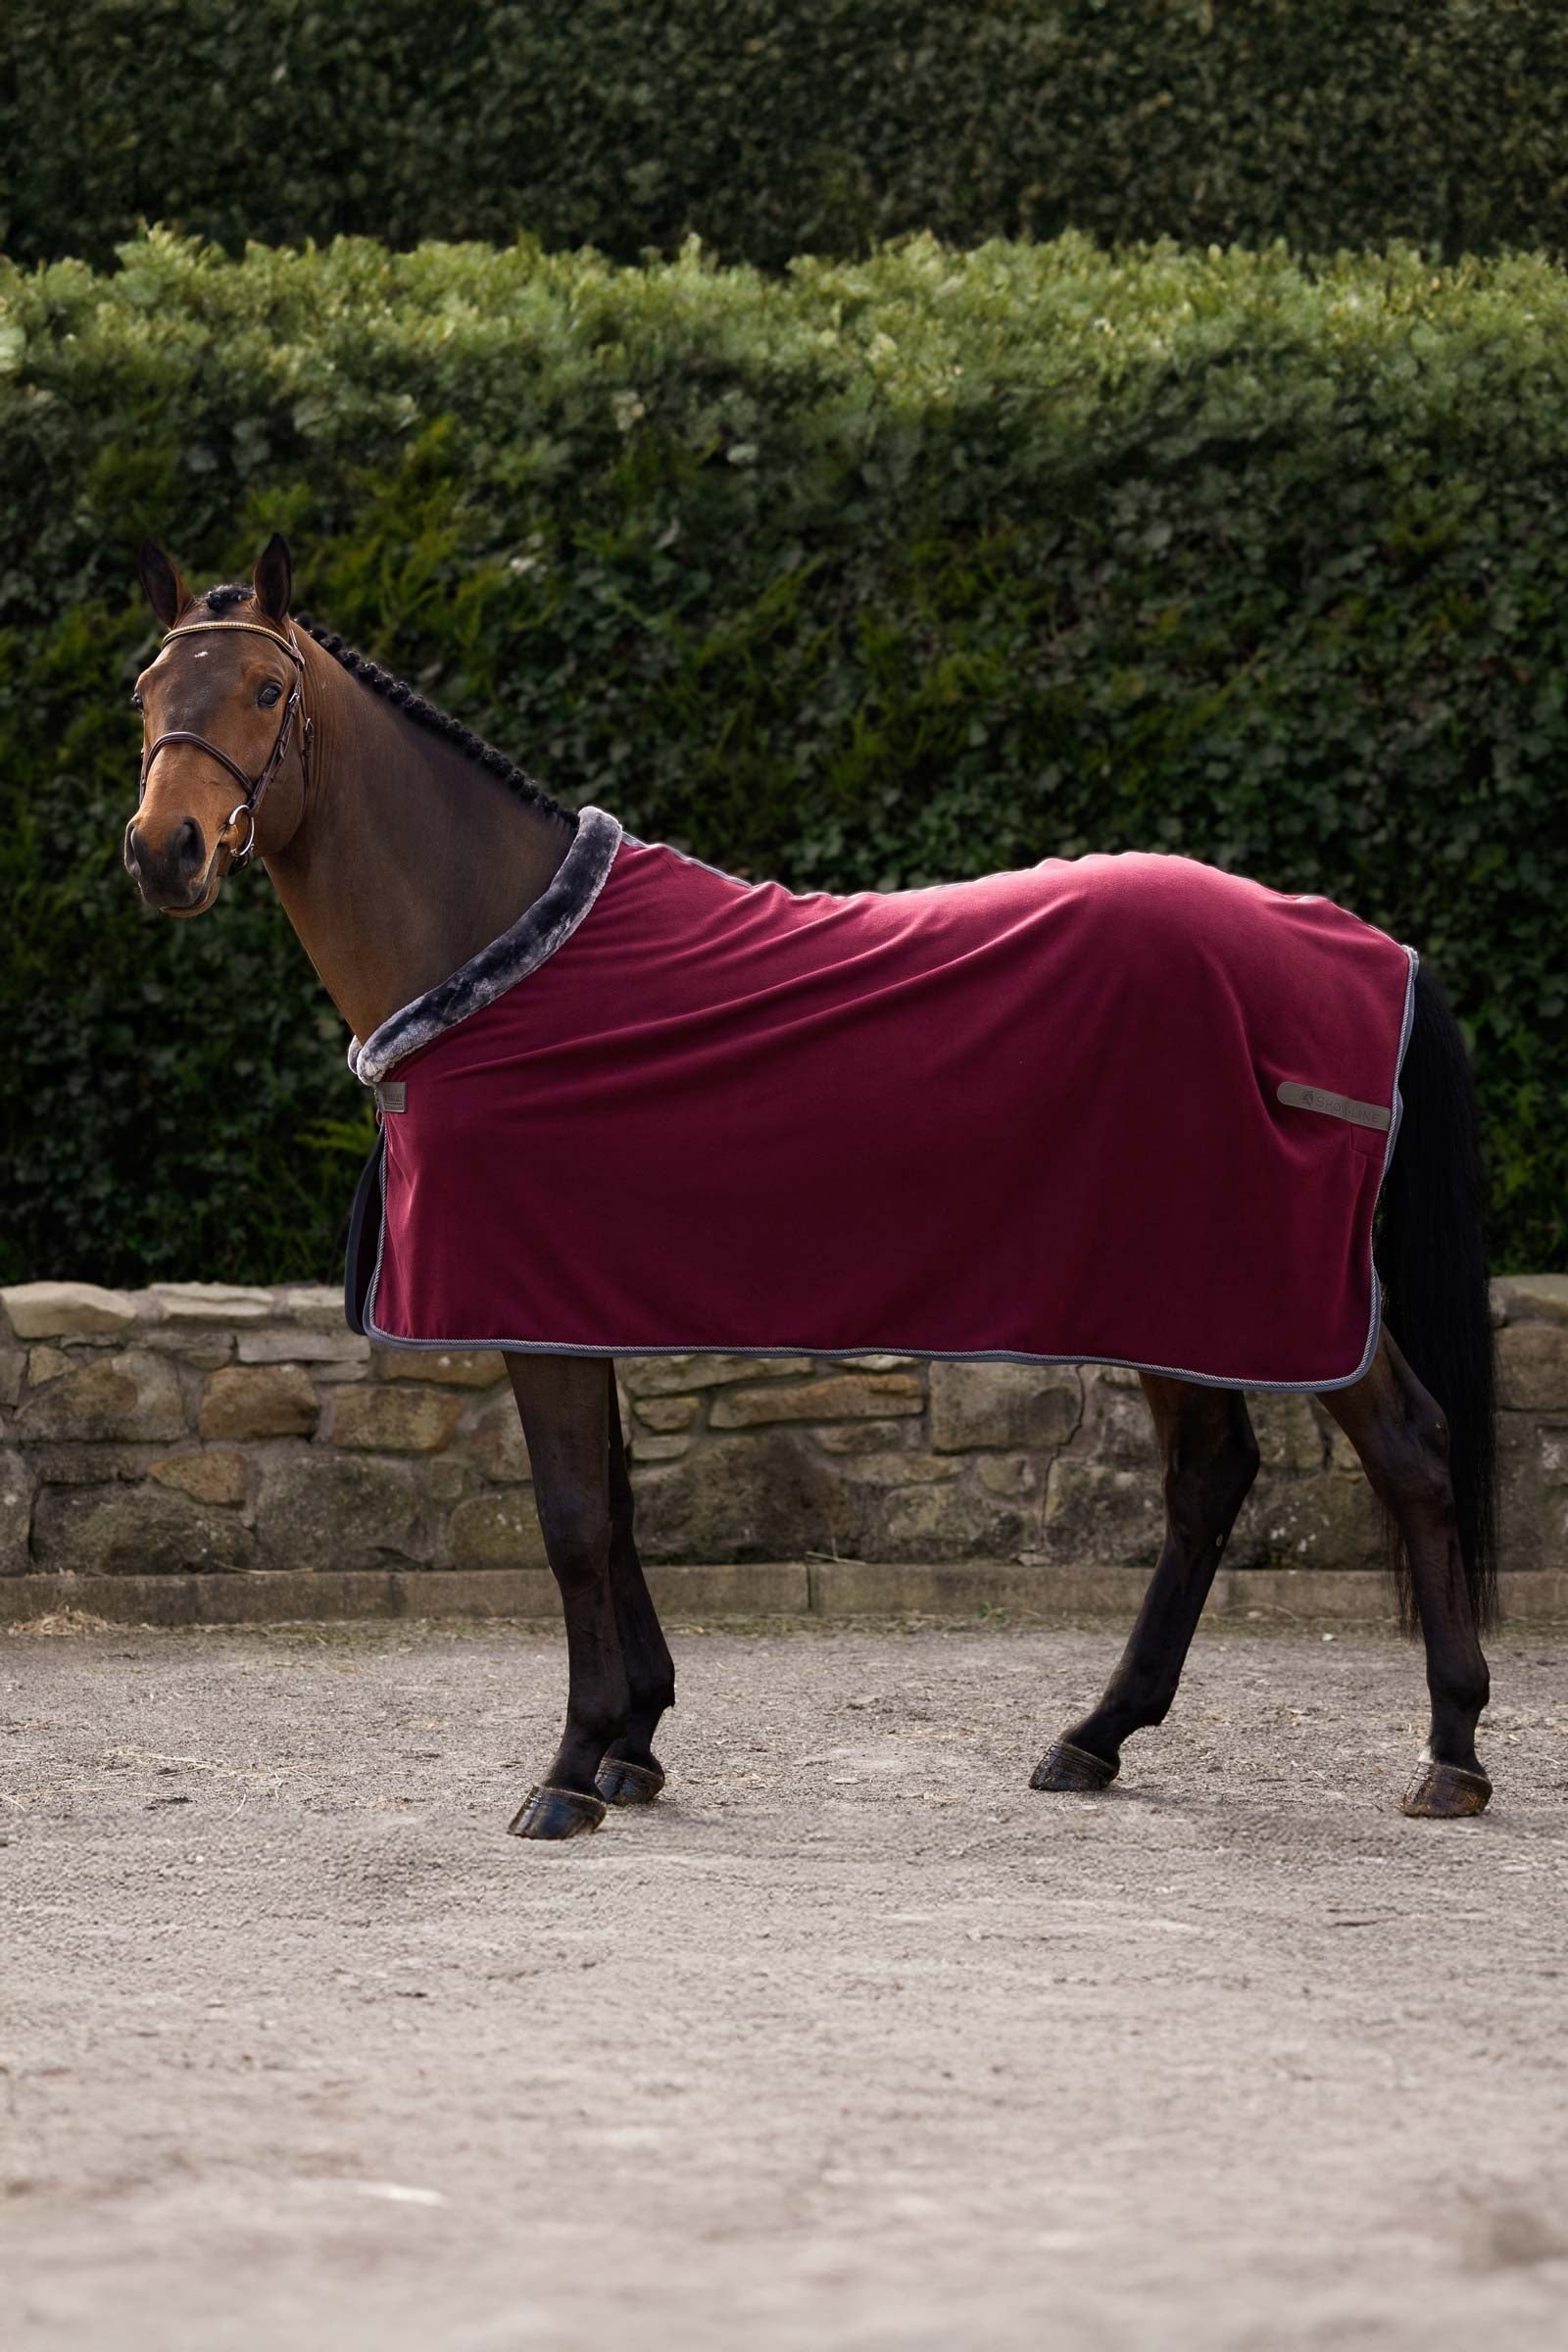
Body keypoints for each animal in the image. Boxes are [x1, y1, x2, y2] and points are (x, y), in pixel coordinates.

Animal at [123, 534, 1499, 1840]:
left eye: (264, 689)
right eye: (145, 692)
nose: (162, 853)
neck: (498, 951)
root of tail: (1364, 944)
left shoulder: (533, 1304)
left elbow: (571, 1522)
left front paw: (569, 1772)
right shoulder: (574, 1298)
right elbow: (617, 1508)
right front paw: (635, 1741)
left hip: (1275, 1286)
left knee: (1409, 1451)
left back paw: (1451, 1754)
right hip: (1178, 1293)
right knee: (1210, 1479)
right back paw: (1097, 1737)